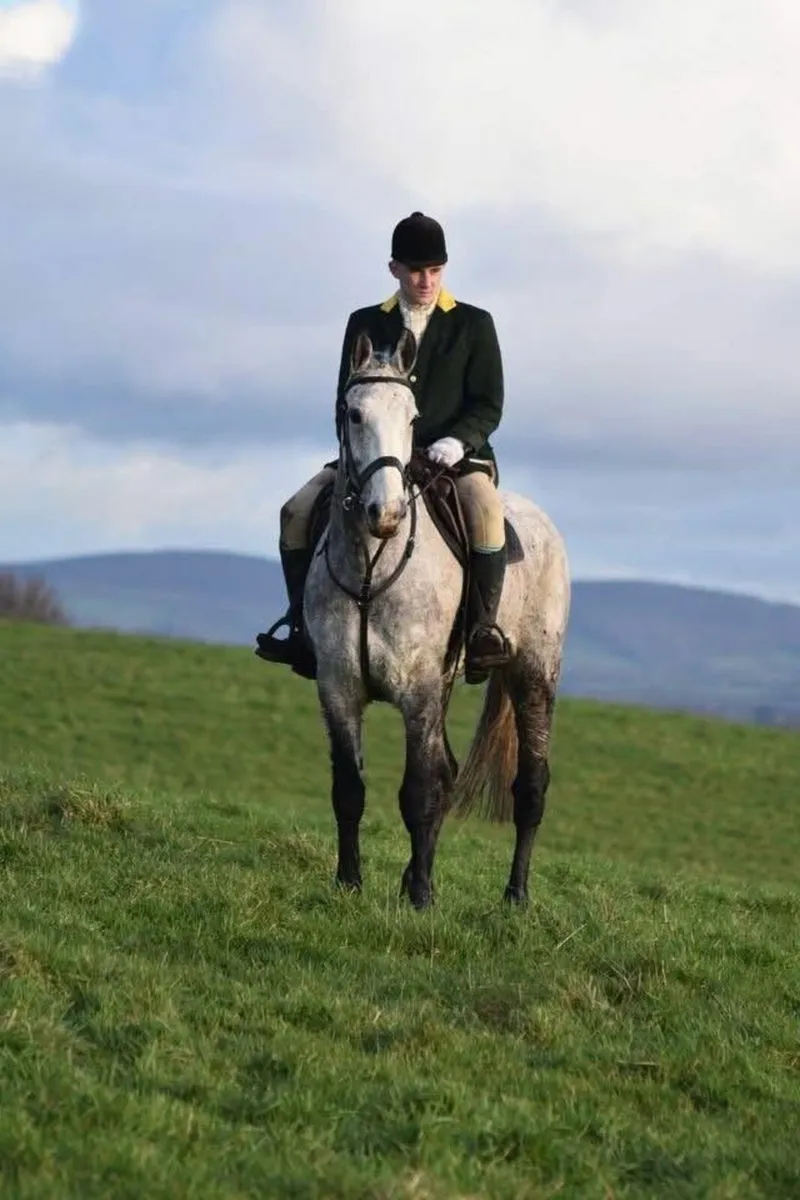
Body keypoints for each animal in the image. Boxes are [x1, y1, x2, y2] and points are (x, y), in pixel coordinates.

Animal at [303, 328, 571, 909]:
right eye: (353, 412)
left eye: (411, 417)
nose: (385, 513)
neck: (371, 567)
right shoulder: (338, 687)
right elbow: (349, 789)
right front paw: (350, 883)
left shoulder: (418, 690)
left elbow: (421, 789)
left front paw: (423, 896)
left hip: (533, 676)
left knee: (531, 786)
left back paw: (516, 895)